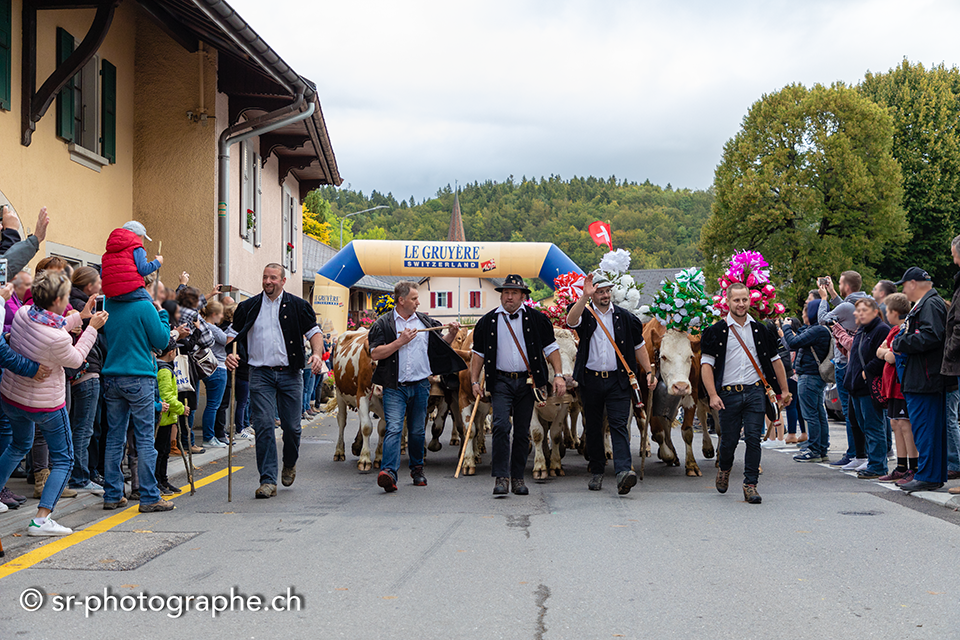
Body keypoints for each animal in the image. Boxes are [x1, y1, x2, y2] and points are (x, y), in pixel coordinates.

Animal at [332, 329, 384, 472]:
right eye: (372, 364)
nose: (380, 389)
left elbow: (383, 429)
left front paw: (379, 458)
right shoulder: (362, 396)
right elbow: (367, 427)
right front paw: (365, 459)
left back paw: (357, 446)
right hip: (340, 394)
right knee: (342, 420)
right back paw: (339, 451)